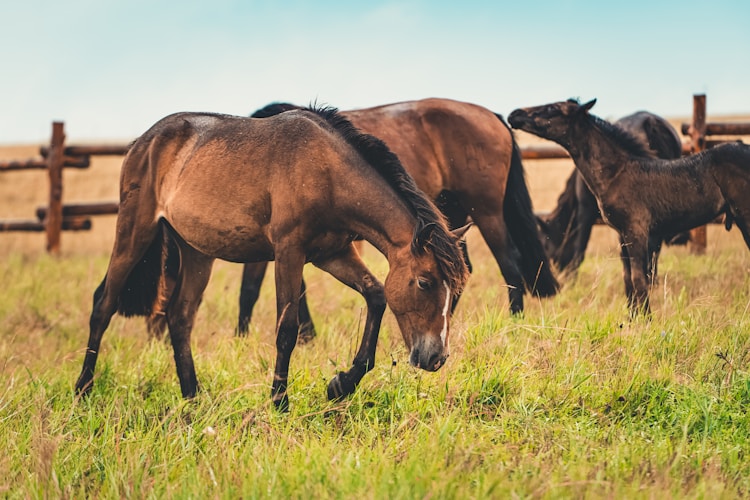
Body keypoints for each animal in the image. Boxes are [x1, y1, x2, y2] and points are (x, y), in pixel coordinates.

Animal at [73, 106, 468, 410]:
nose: (436, 358)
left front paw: (341, 384)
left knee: (179, 317)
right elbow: (287, 329)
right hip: (134, 231)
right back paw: (83, 390)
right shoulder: (288, 252)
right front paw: (280, 401)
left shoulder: (332, 254)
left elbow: (376, 295)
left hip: (196, 252)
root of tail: (144, 141)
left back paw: (193, 397)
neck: (327, 172)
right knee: (103, 305)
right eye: (425, 282)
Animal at [232, 96, 560, 340]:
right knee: (461, 270)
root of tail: (492, 116)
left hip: (486, 212)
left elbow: (262, 288)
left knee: (509, 263)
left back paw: (514, 324)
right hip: (451, 220)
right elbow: (259, 289)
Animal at [512, 99, 750, 314]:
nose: (515, 114)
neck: (618, 172)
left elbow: (638, 277)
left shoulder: (636, 231)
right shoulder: (623, 234)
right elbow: (628, 278)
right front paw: (633, 318)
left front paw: (646, 319)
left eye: (552, 108)